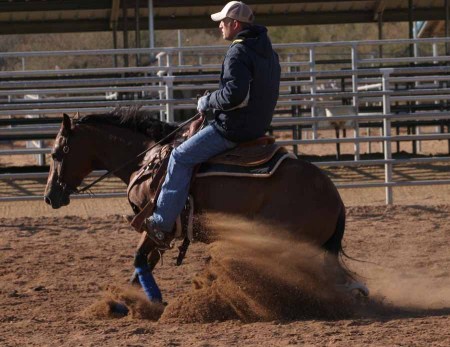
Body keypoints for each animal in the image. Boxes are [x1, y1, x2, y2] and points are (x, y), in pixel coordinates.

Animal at [44, 109, 356, 304]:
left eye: (57, 153)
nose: (49, 196)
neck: (145, 158)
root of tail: (335, 197)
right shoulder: (160, 233)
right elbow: (144, 264)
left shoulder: (154, 223)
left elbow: (139, 260)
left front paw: (141, 303)